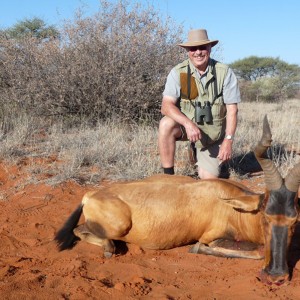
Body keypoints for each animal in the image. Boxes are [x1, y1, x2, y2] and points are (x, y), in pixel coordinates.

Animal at [54, 116, 300, 284]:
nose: (276, 276)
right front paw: (196, 249)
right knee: (80, 230)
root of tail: (90, 195)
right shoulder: (213, 237)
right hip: (117, 225)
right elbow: (255, 251)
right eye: (266, 217)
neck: (234, 205)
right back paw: (108, 247)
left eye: (295, 221)